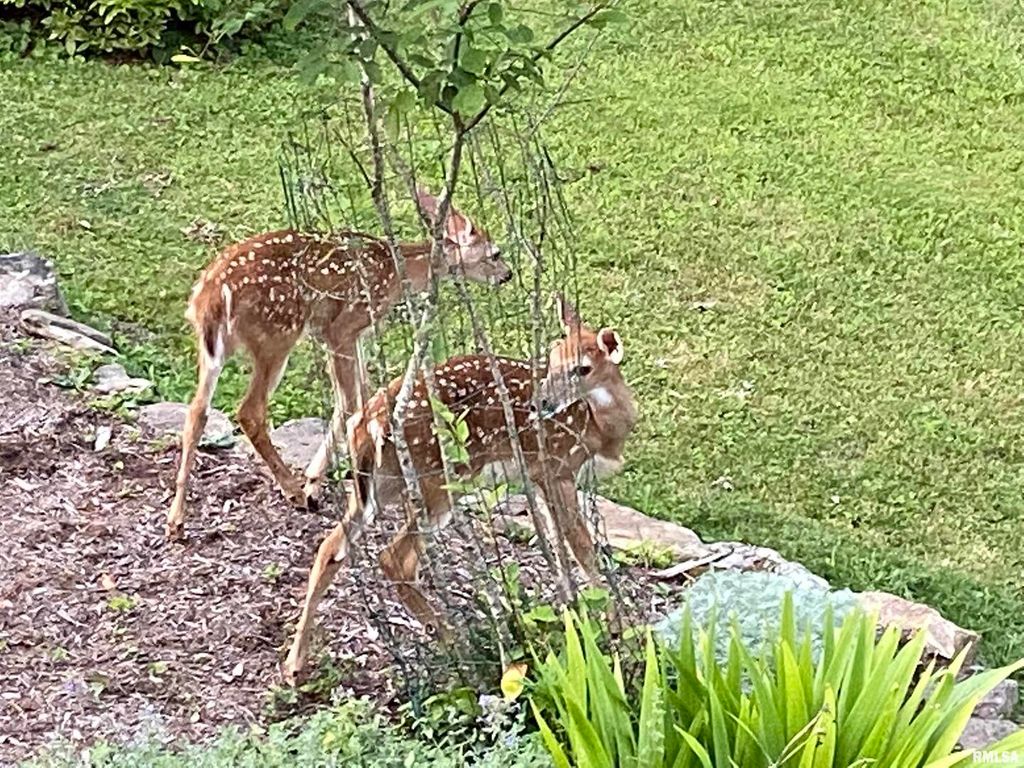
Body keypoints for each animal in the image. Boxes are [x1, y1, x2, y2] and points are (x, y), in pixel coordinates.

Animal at [166, 190, 512, 540]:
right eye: (495, 253)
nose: (507, 275)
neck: (395, 274)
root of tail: (211, 294)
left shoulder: (352, 334)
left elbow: (362, 394)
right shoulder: (342, 327)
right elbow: (349, 402)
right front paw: (313, 484)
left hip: (214, 347)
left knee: (197, 410)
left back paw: (176, 520)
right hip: (277, 335)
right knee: (249, 411)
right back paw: (293, 490)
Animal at [282, 297, 638, 683]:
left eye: (582, 368)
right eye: (553, 357)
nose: (539, 404)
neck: (599, 427)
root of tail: (369, 423)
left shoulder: (541, 478)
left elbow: (559, 549)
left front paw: (574, 617)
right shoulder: (557, 468)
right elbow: (582, 548)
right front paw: (613, 632)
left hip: (380, 483)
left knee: (330, 547)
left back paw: (294, 664)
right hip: (439, 478)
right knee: (394, 558)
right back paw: (457, 643)